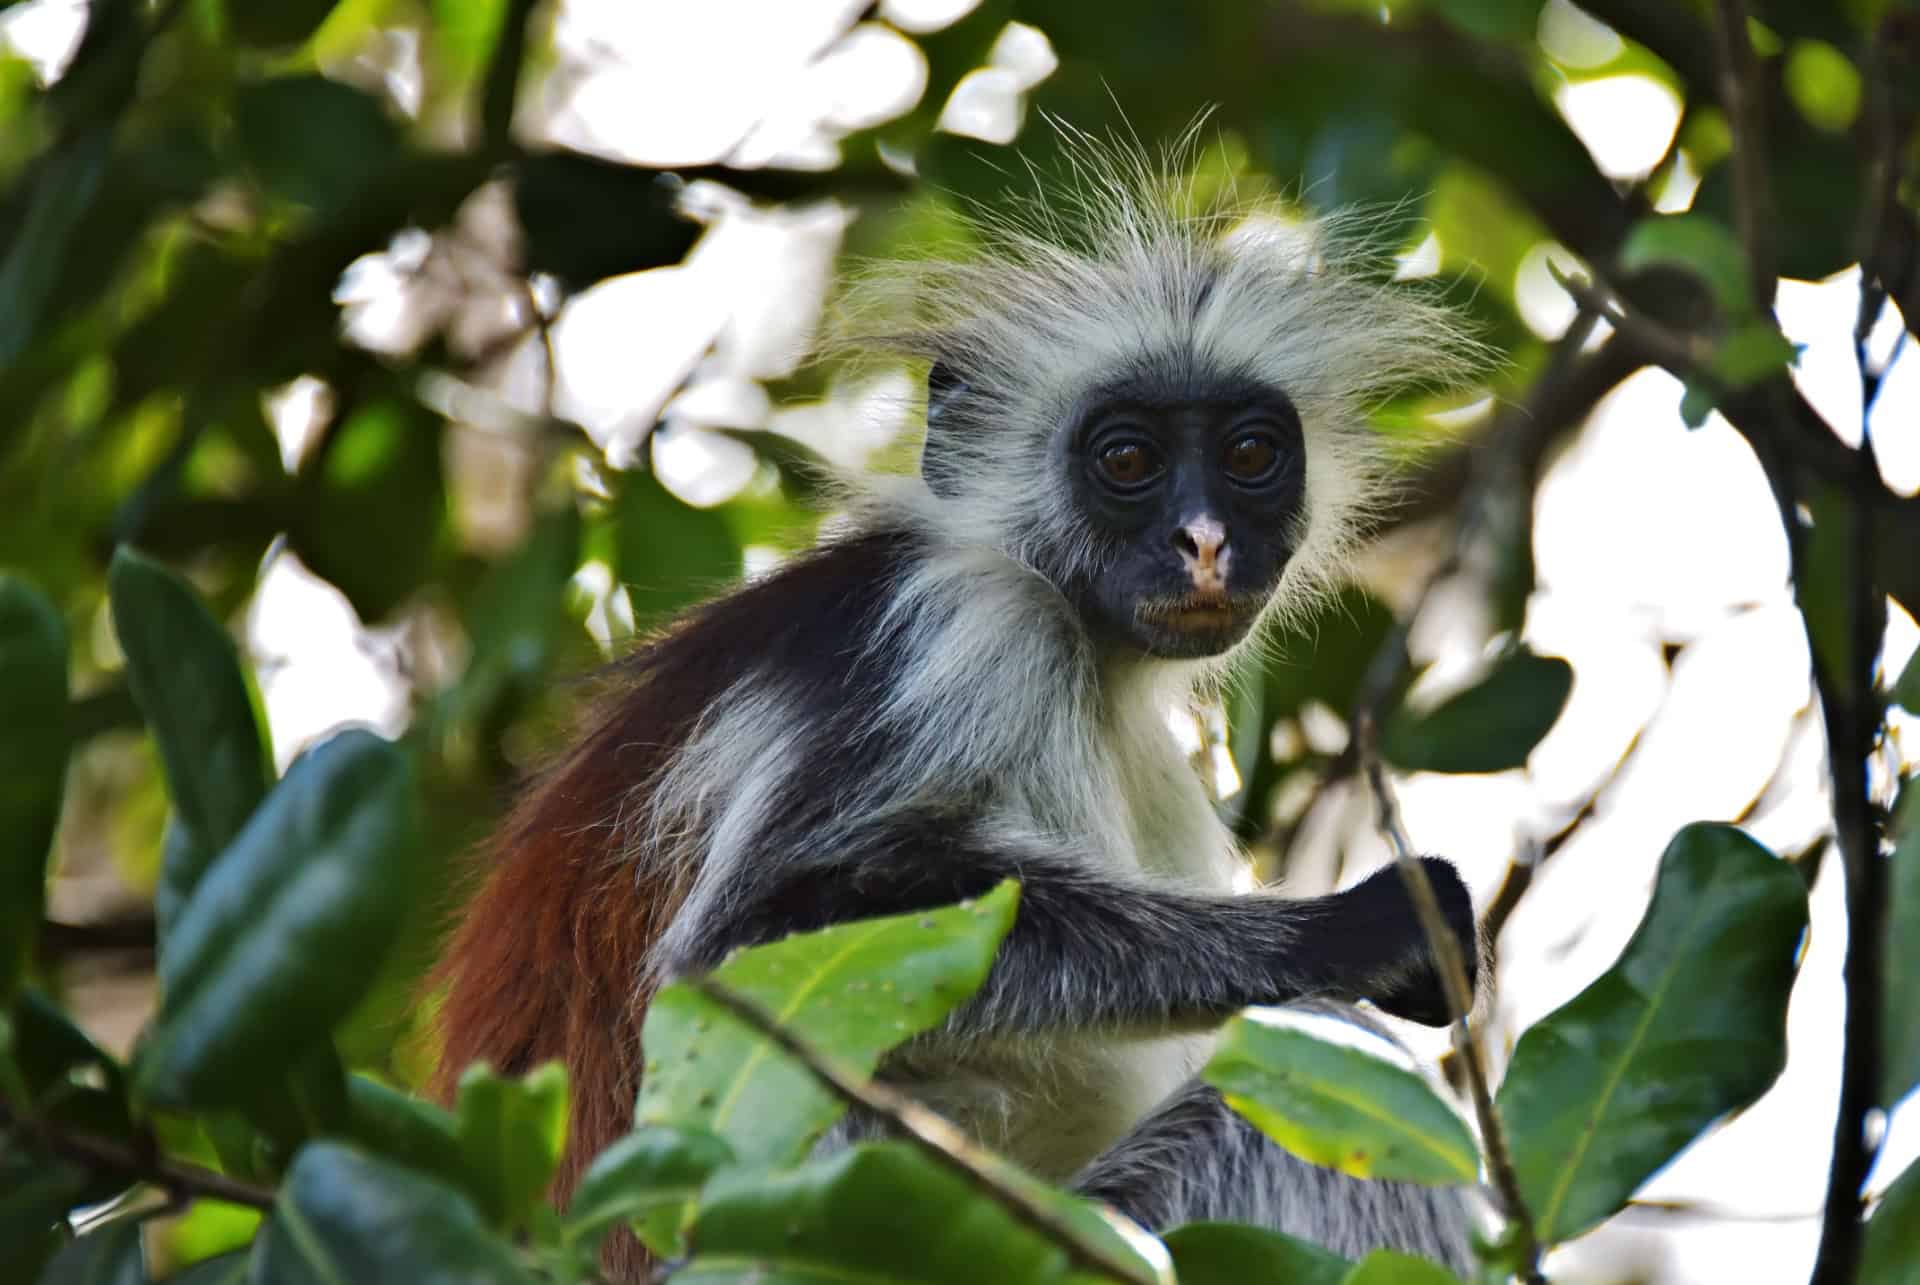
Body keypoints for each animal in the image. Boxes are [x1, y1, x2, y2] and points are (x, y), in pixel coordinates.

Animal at [432, 135, 1482, 1275]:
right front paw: (1356, 931)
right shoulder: (961, 627)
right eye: (1127, 459)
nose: (1204, 539)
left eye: (1250, 455)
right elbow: (742, 951)